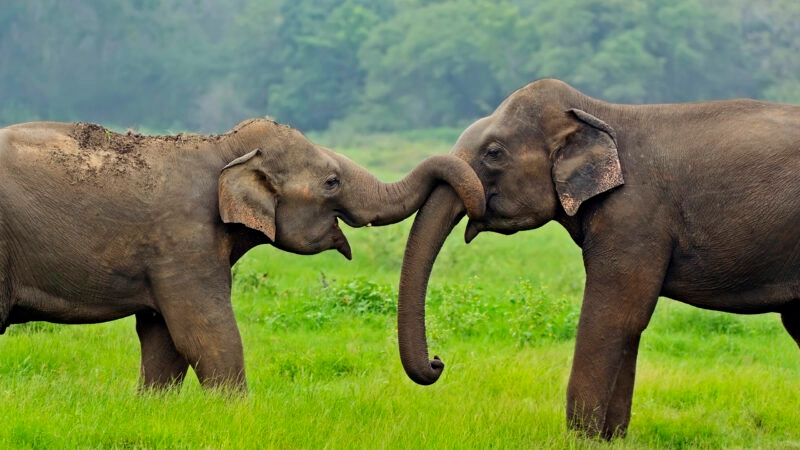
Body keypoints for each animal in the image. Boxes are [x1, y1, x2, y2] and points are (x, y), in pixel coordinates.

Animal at [0, 118, 485, 391]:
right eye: (331, 182)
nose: (439, 361)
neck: (225, 147)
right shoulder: (183, 239)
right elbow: (206, 334)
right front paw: (236, 413)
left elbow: (163, 339)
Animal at [396, 78, 800, 439]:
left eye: (493, 153)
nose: (438, 362)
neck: (598, 112)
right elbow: (628, 325)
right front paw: (610, 439)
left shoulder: (635, 216)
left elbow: (615, 316)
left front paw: (580, 440)